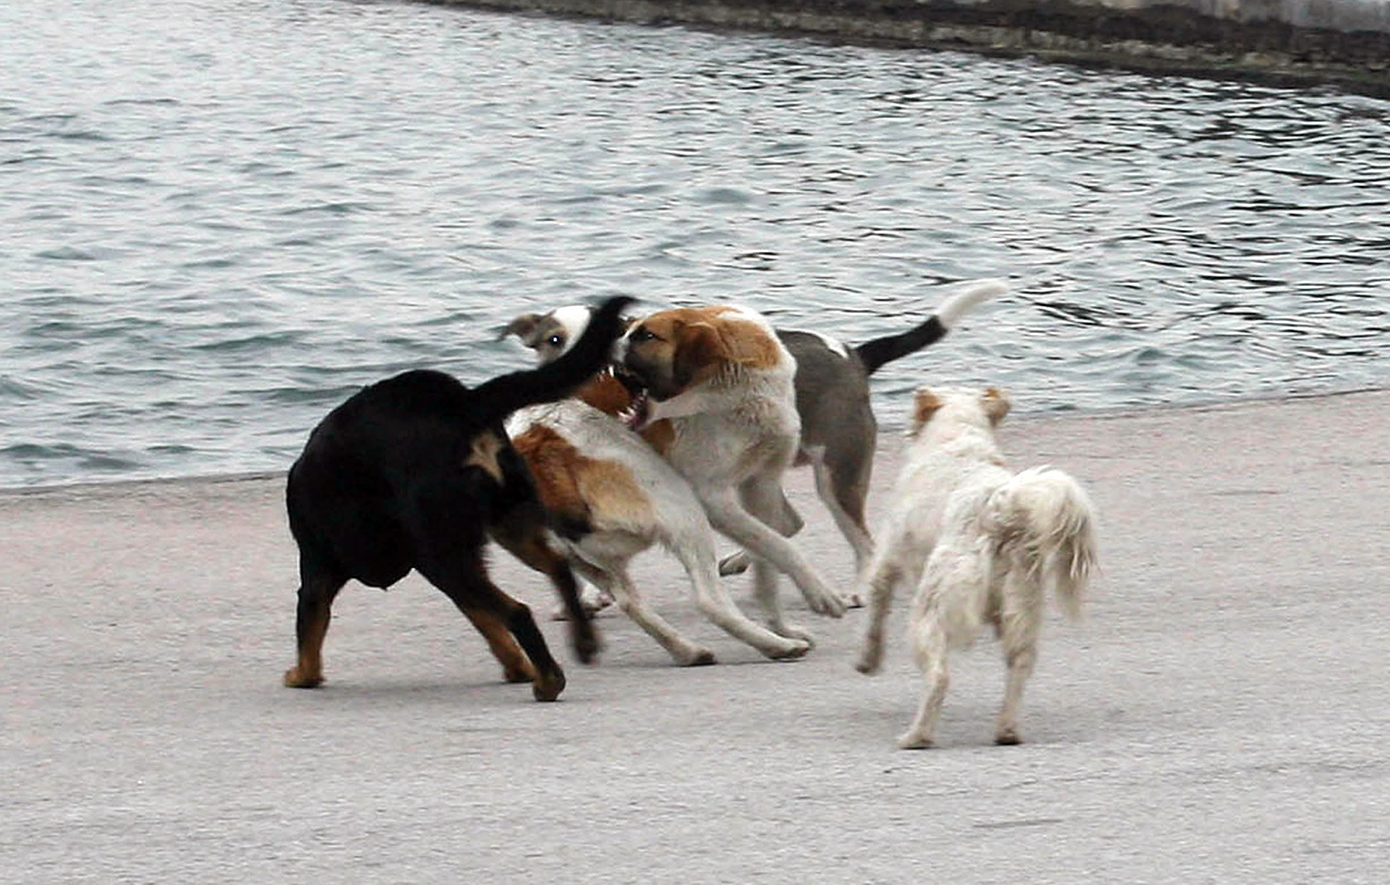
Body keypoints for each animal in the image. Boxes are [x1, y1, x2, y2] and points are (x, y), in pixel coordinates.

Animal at [284, 293, 633, 700]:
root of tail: (464, 404)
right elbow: (488, 625)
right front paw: (517, 668)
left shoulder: (317, 566)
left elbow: (309, 628)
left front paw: (302, 675)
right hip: (506, 525)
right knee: (559, 570)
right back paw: (582, 642)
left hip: (445, 552)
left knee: (518, 611)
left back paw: (549, 680)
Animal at [617, 304, 845, 641]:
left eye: (646, 336)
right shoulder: (713, 498)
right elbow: (781, 545)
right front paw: (819, 593)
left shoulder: (761, 484)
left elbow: (768, 561)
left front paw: (780, 629)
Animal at [850, 386, 1100, 744]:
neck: (959, 435)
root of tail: (998, 510)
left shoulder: (887, 560)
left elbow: (874, 616)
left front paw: (867, 660)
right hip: (1021, 607)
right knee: (1018, 668)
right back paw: (1006, 729)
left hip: (931, 609)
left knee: (939, 676)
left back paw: (917, 736)